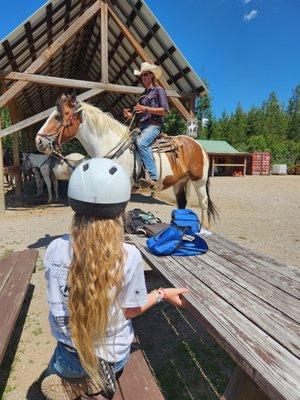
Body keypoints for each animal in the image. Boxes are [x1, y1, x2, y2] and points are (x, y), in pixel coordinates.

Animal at [36, 92, 217, 227]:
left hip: (199, 181)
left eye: (59, 116)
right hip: (180, 182)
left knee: (204, 204)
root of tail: (197, 145)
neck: (111, 146)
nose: (38, 141)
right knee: (182, 203)